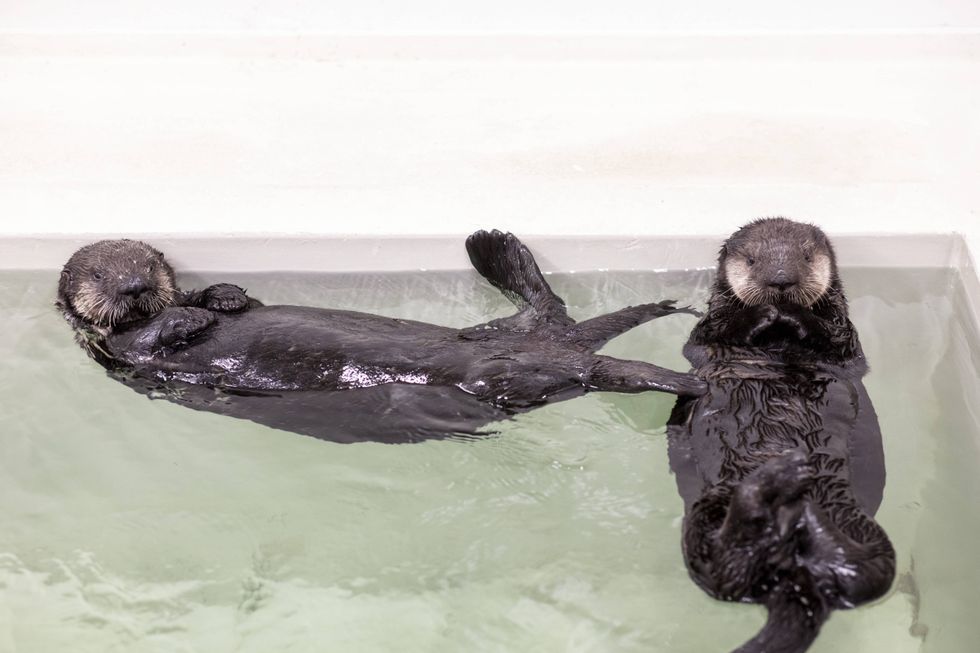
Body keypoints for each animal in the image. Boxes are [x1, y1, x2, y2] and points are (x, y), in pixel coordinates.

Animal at [58, 231, 707, 442]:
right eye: (99, 276)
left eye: (147, 261)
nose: (136, 285)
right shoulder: (121, 354)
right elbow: (146, 342)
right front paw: (191, 318)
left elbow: (223, 301)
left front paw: (223, 298)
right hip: (509, 376)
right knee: (595, 367)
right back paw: (700, 379)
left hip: (502, 338)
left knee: (553, 312)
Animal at [667, 218, 896, 653]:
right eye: (752, 260)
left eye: (805, 257)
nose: (780, 280)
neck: (776, 341)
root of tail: (794, 575)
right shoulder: (704, 336)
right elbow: (708, 338)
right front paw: (765, 312)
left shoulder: (847, 343)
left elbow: (839, 342)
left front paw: (791, 313)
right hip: (704, 517)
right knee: (724, 569)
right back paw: (779, 490)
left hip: (858, 521)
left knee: (868, 574)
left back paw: (797, 504)